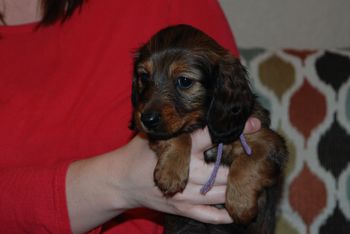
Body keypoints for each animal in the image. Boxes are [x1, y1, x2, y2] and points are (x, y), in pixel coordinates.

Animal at [130, 24, 288, 233]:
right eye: (144, 76)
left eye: (184, 81)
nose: (146, 119)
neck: (205, 123)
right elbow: (179, 135)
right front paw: (171, 172)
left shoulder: (269, 142)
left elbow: (248, 161)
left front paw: (241, 203)